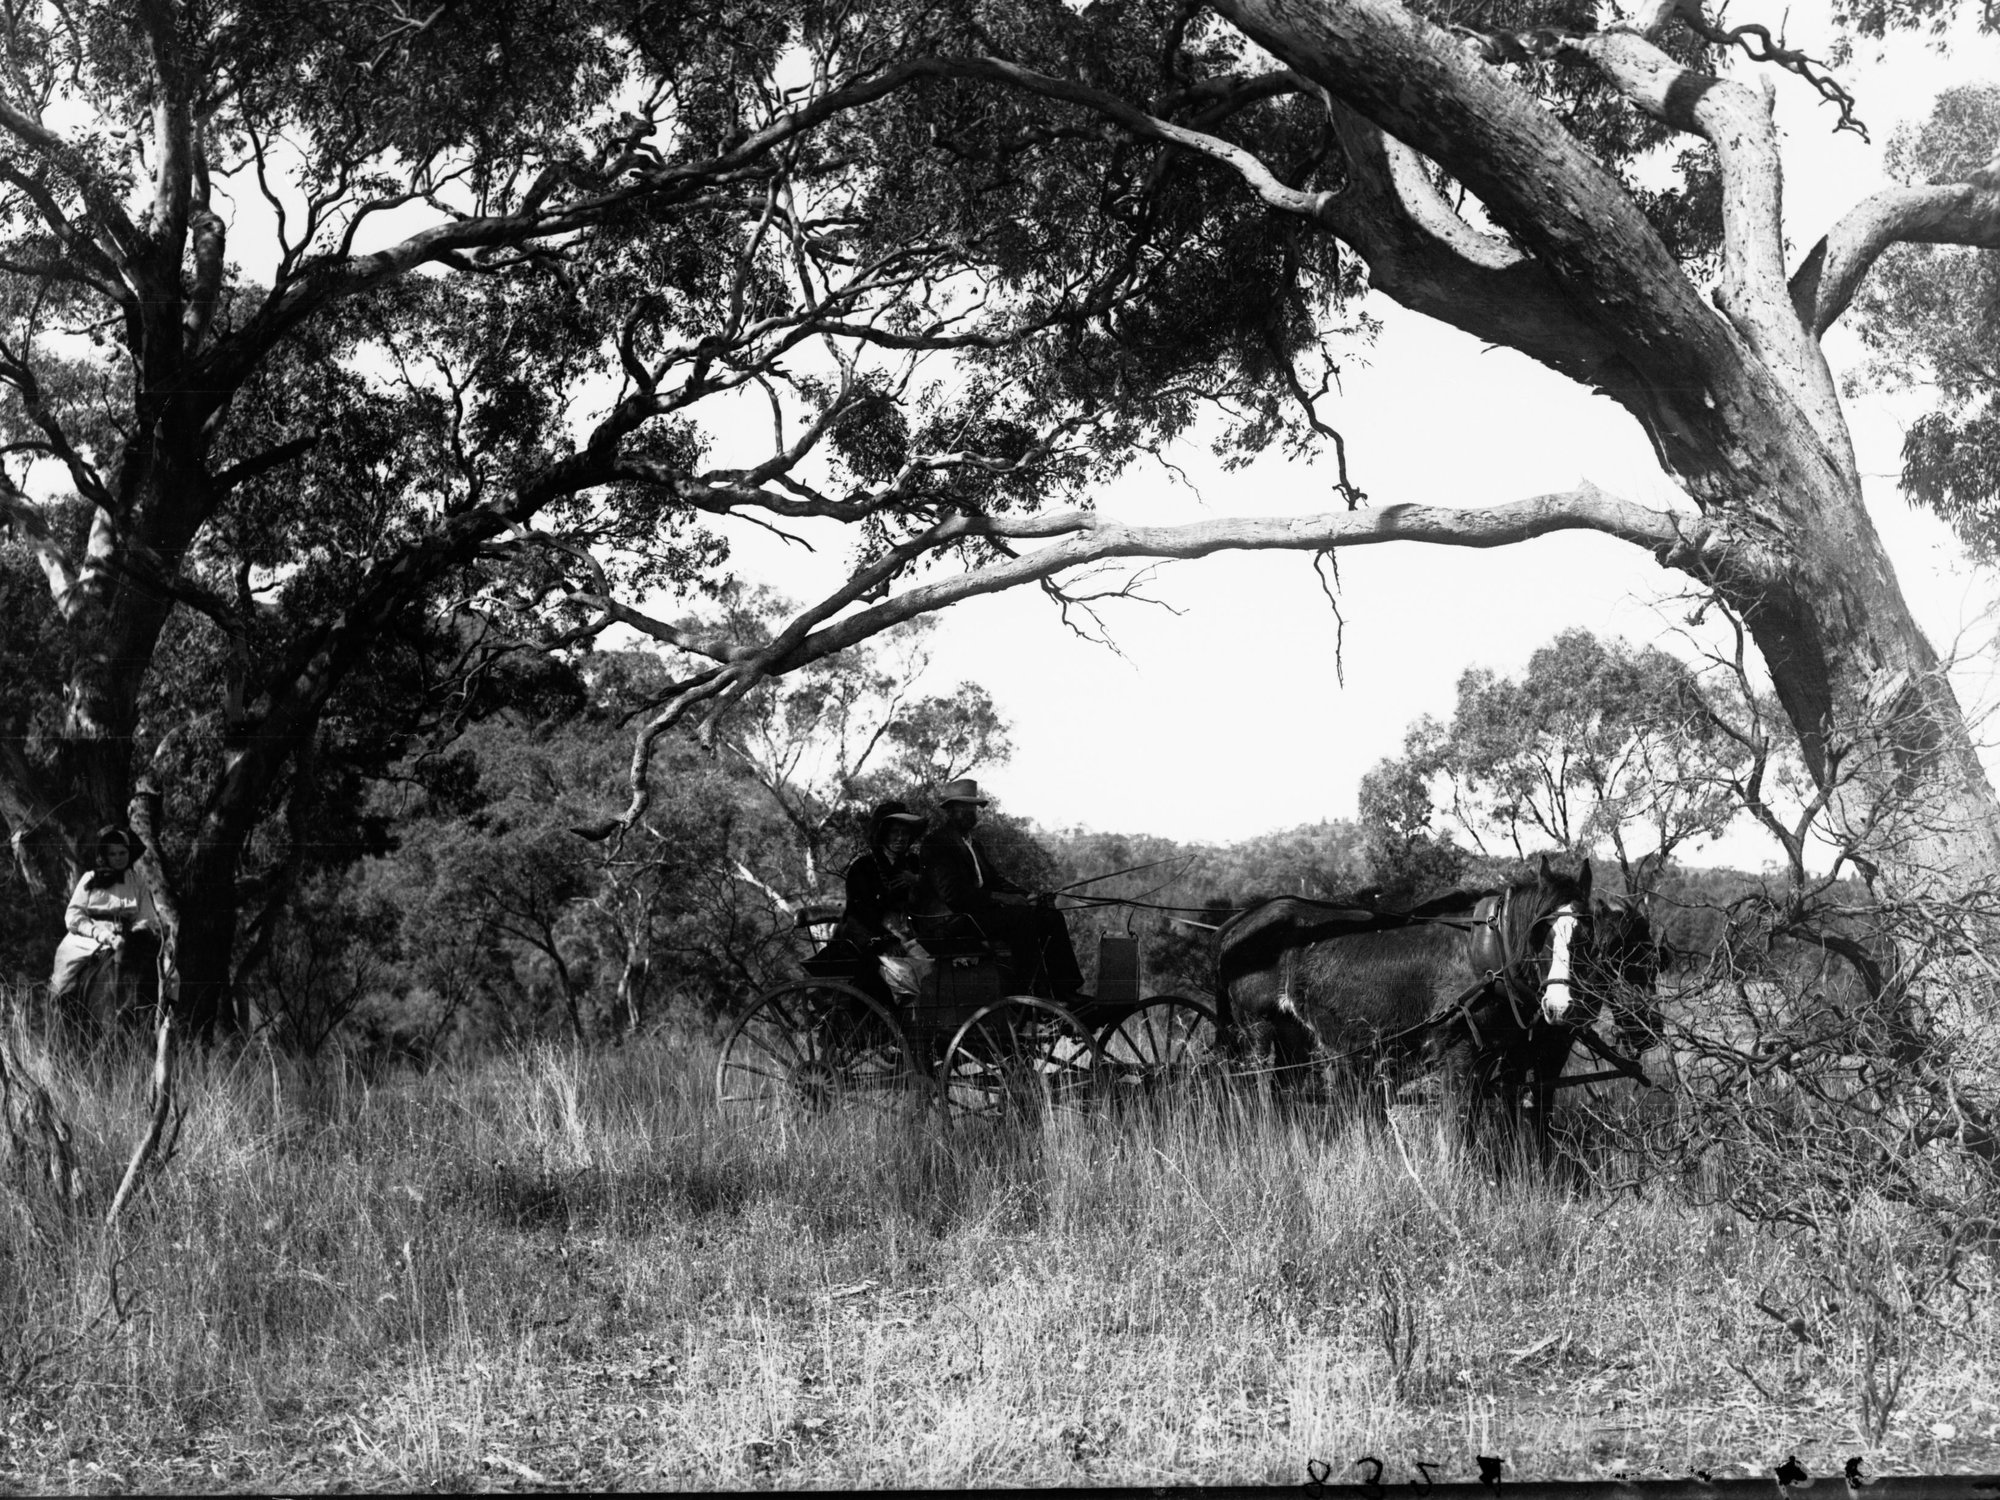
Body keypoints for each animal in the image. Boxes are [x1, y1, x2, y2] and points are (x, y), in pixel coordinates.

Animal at [1215, 857, 1618, 1154]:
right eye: (1541, 931)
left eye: (1586, 935)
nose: (1560, 1006)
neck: (1487, 953)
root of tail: (1238, 923)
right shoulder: (1460, 1053)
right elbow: (1458, 1129)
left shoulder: (1505, 1058)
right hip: (1256, 1031)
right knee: (1253, 1092)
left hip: (1293, 1036)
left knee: (1283, 1092)